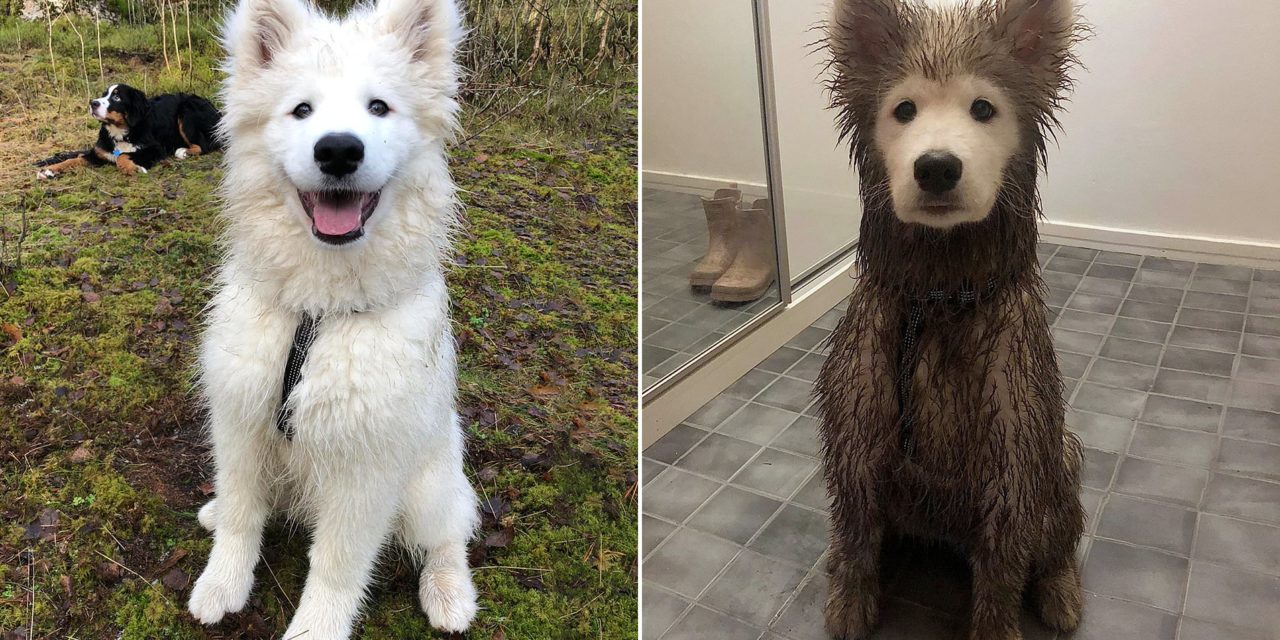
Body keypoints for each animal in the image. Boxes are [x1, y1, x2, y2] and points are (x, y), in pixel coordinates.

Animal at [35, 82, 224, 179]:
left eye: (117, 97)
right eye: (104, 94)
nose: (92, 103)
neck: (120, 132)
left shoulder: (154, 149)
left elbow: (123, 156)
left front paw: (132, 168)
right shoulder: (98, 154)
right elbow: (74, 159)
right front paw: (50, 169)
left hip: (186, 112)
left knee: (205, 144)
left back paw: (184, 151)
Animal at [819, 1, 1090, 640]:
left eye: (983, 108)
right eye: (904, 109)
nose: (937, 167)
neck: (941, 299)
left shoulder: (1014, 460)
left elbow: (1002, 574)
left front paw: (998, 627)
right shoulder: (857, 435)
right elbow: (859, 536)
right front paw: (850, 600)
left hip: (1058, 459)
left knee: (1058, 541)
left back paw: (1061, 590)